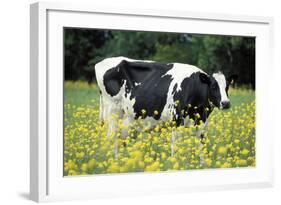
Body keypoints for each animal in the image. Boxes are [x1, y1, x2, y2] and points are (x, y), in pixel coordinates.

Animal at [94, 56, 236, 158]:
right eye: (213, 86)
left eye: (227, 86)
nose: (226, 103)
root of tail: (101, 63)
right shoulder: (177, 120)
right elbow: (176, 145)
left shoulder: (200, 123)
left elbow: (201, 146)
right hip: (112, 112)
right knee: (112, 138)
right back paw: (115, 161)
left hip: (127, 121)